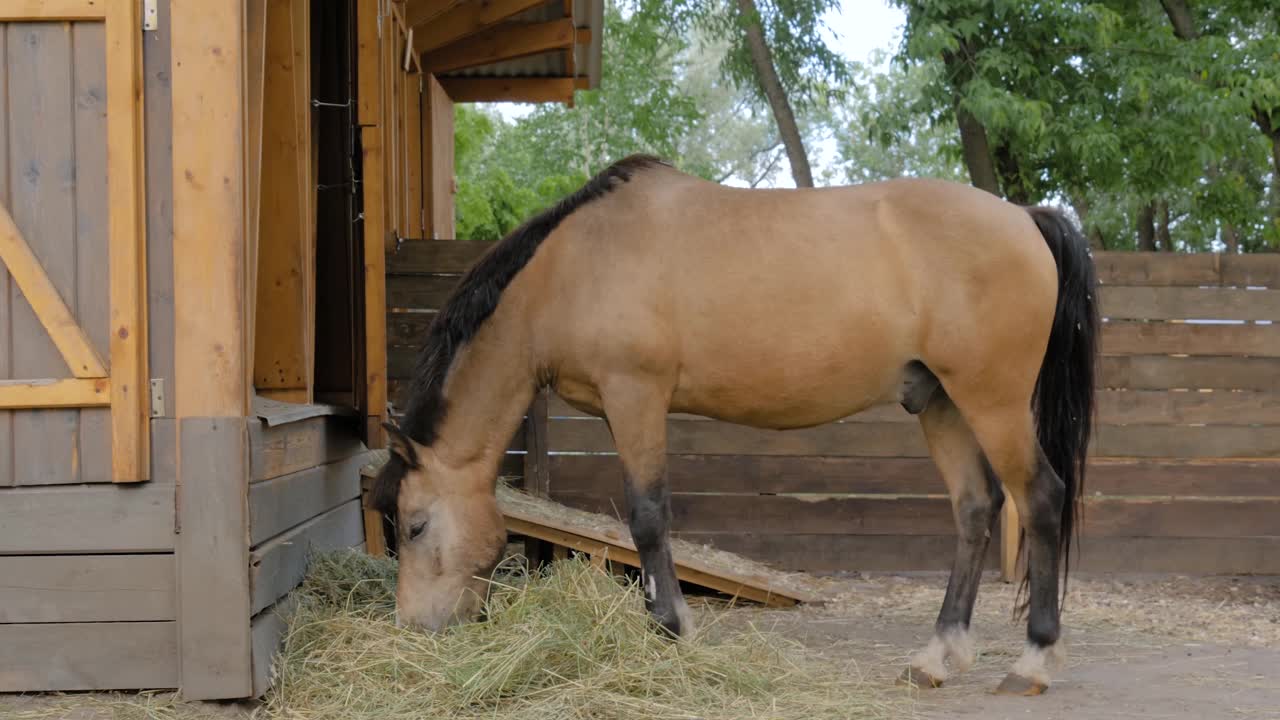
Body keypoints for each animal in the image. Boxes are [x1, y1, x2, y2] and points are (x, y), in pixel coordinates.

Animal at [373, 152, 1100, 696]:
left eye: (415, 526)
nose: (415, 629)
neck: (573, 267)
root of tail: (1026, 217)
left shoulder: (635, 395)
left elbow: (648, 516)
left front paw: (671, 628)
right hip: (942, 402)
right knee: (975, 510)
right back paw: (938, 655)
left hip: (992, 401)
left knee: (1040, 498)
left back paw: (1033, 659)